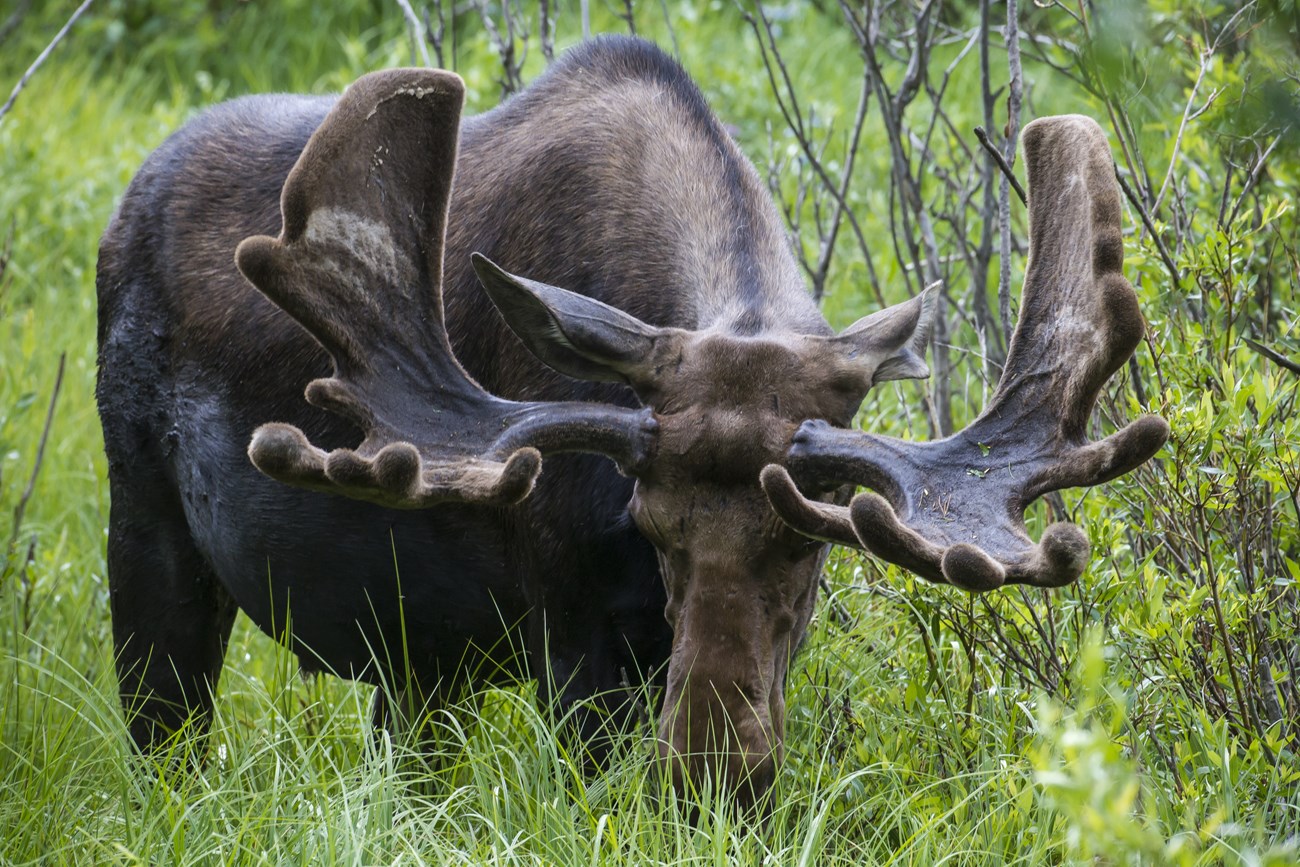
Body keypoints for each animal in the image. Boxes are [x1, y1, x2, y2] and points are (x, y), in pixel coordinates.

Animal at [95, 36, 1167, 808]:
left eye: (810, 537)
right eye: (649, 524)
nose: (711, 771)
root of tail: (129, 197)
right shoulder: (570, 624)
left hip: (419, 657)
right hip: (144, 521)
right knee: (162, 737)